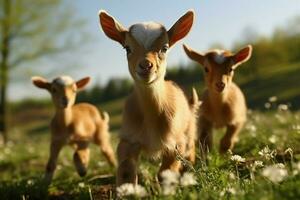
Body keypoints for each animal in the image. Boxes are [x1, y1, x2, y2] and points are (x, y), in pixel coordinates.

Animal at [99, 9, 200, 184]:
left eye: (165, 48)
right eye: (127, 48)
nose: (146, 65)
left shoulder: (176, 143)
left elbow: (166, 171)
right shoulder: (128, 138)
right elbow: (126, 171)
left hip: (189, 130)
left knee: (191, 153)